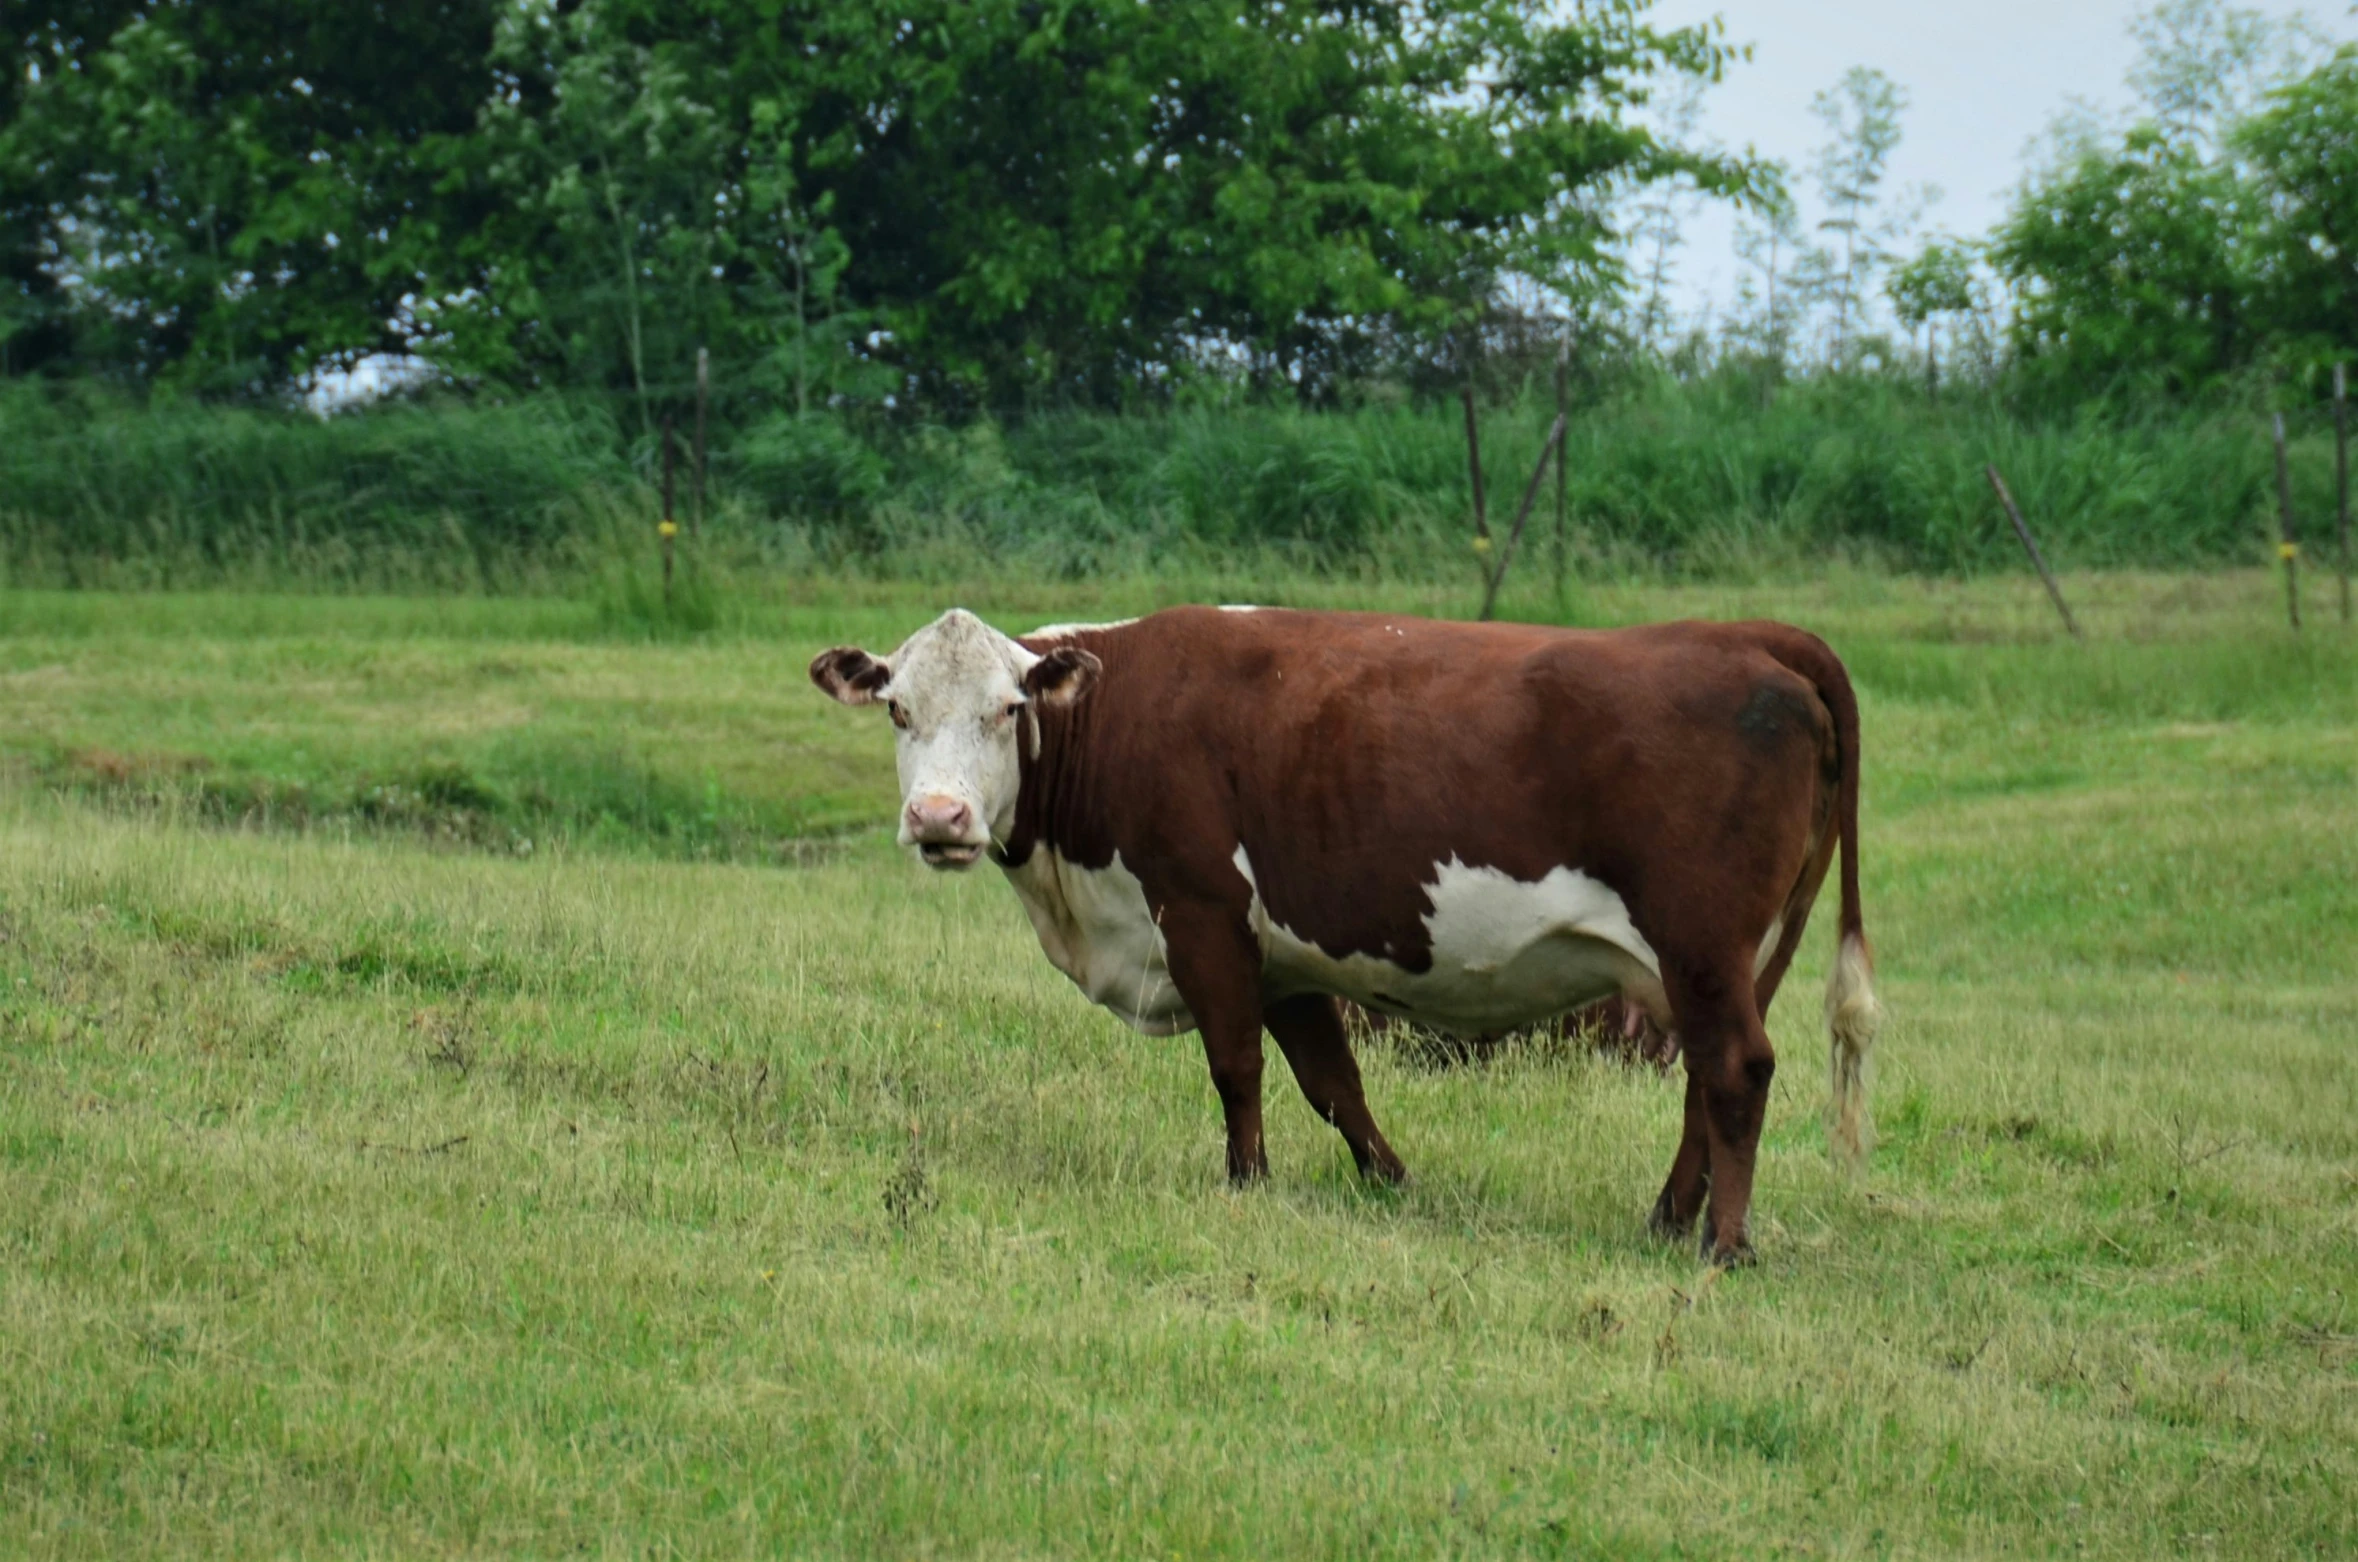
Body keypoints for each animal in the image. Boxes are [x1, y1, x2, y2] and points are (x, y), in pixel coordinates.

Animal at [811, 604, 1876, 1264]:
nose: (940, 817)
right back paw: (1666, 1219)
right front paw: (1393, 1183)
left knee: (1735, 1068)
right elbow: (1332, 1082)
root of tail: (1750, 637)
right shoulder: (1282, 958)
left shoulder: (1200, 913)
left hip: (1701, 944)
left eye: (1008, 709)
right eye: (899, 709)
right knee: (1709, 1077)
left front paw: (1246, 1183)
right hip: (1732, 959)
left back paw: (1723, 1245)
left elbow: (1237, 1068)